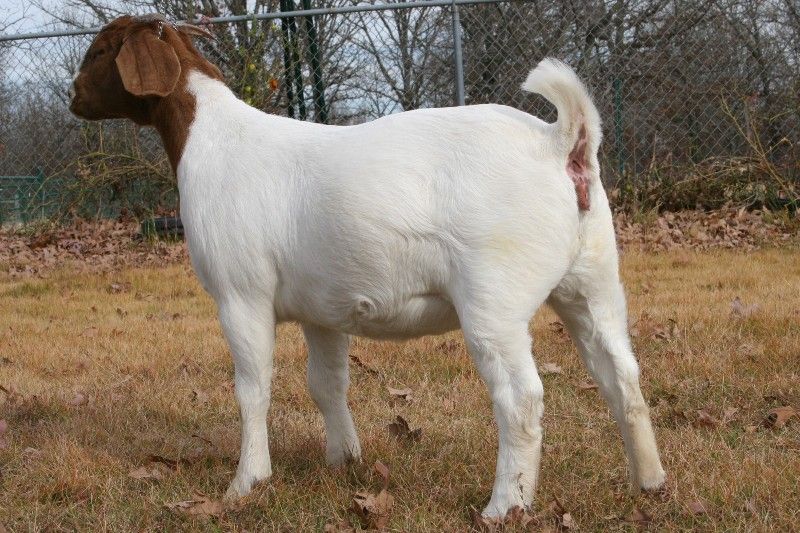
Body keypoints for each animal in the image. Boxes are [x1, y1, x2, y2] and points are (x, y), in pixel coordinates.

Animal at [69, 14, 666, 517]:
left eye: (99, 51)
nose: (72, 97)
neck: (212, 139)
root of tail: (562, 142)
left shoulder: (241, 295)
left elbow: (253, 388)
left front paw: (246, 482)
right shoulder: (322, 310)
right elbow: (326, 384)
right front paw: (343, 460)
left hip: (494, 299)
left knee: (521, 398)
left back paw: (503, 507)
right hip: (592, 280)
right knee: (621, 374)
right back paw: (649, 481)